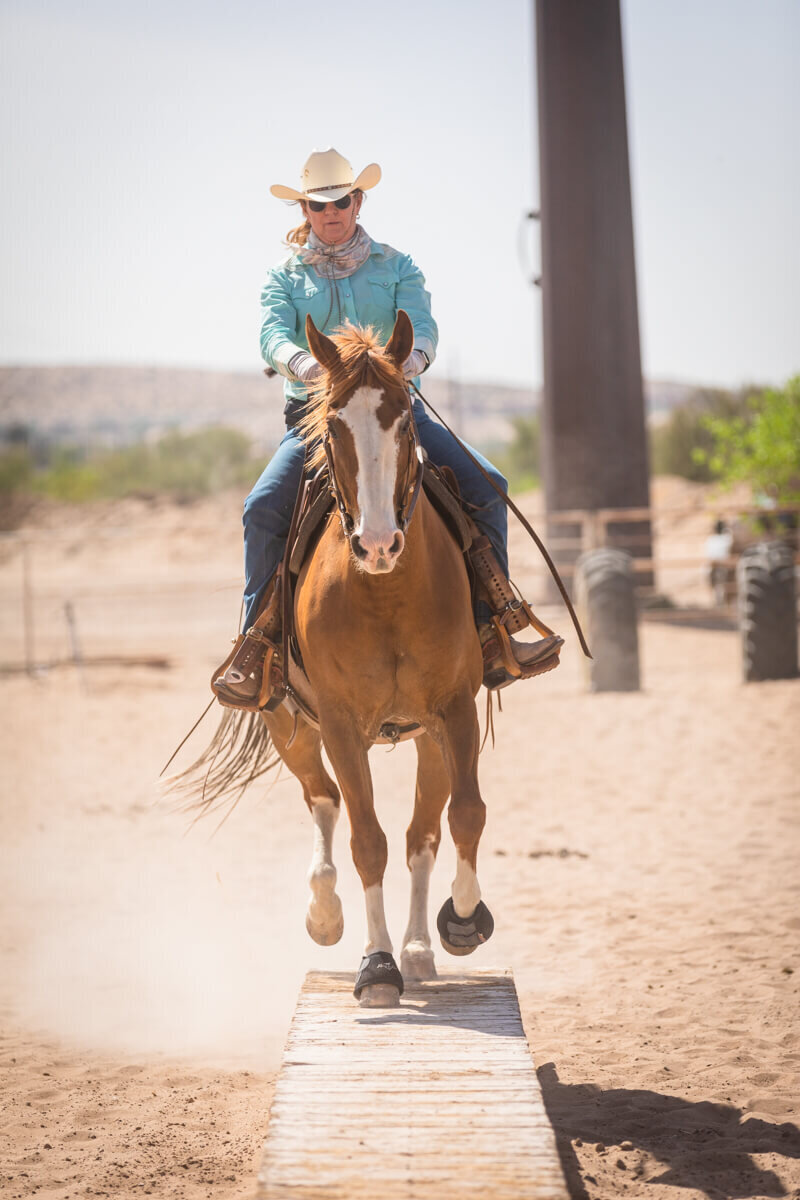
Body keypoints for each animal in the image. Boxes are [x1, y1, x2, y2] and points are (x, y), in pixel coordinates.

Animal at [178, 307, 496, 1003]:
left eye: (406, 420)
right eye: (332, 427)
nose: (377, 542)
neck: (386, 593)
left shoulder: (454, 710)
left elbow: (464, 814)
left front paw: (460, 920)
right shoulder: (342, 725)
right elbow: (365, 839)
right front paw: (376, 966)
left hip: (425, 738)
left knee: (423, 835)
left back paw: (418, 948)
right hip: (289, 724)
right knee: (323, 801)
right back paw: (325, 915)